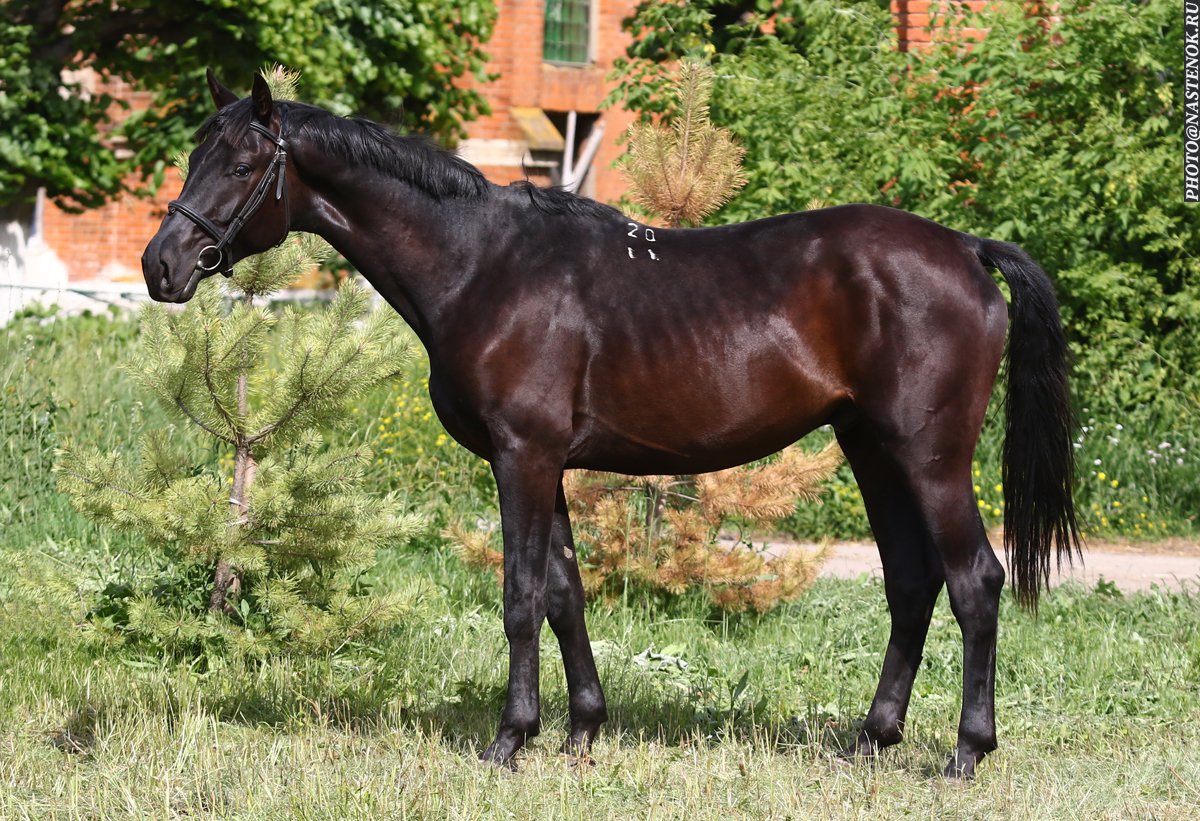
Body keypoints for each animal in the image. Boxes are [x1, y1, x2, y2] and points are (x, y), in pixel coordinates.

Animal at [142, 71, 1079, 779]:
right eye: (193, 156)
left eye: (241, 162)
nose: (161, 266)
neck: (483, 264)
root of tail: (967, 249)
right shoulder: (547, 461)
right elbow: (565, 593)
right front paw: (583, 729)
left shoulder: (521, 455)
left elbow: (521, 596)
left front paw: (510, 739)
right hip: (872, 449)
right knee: (911, 583)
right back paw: (870, 739)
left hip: (930, 456)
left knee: (974, 580)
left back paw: (966, 752)